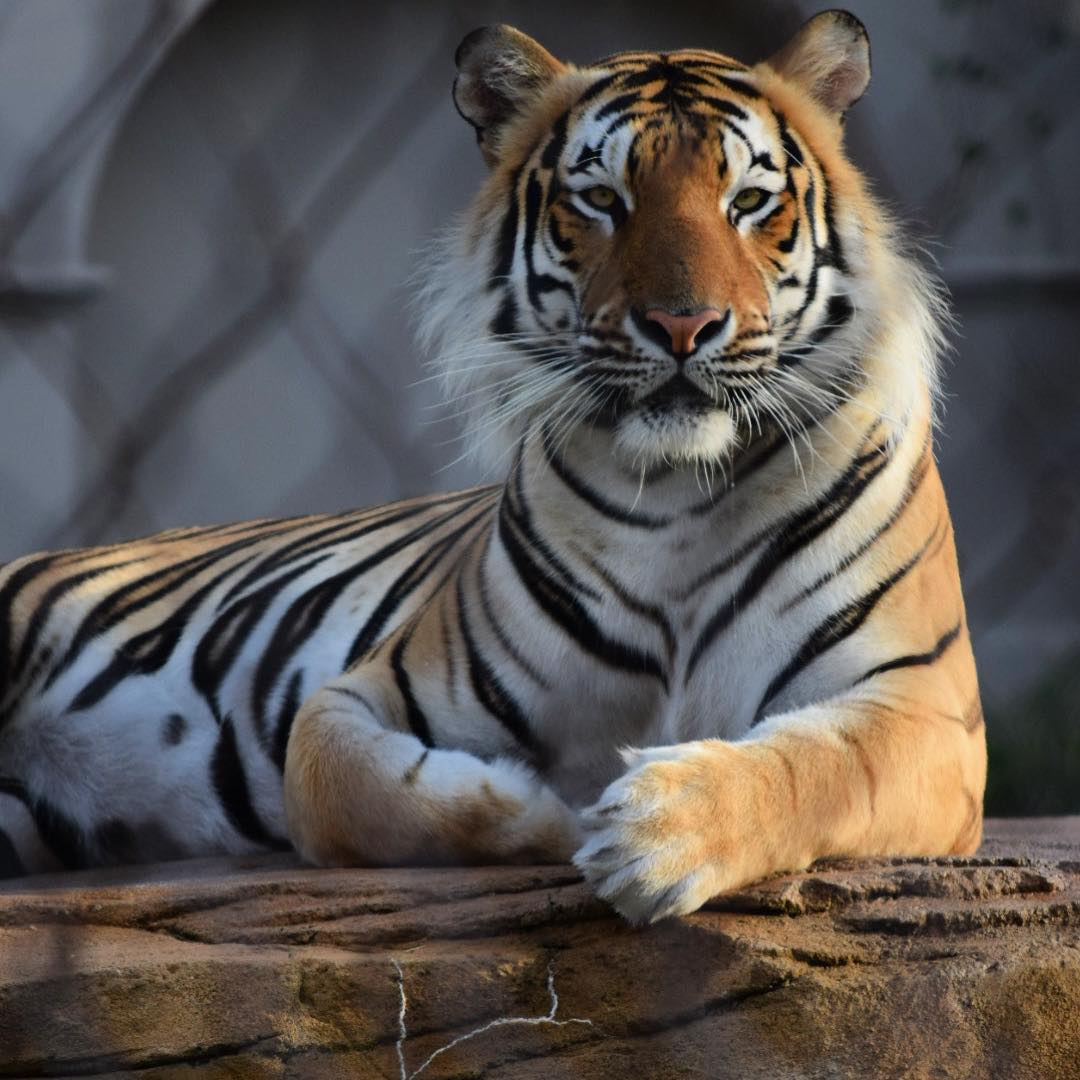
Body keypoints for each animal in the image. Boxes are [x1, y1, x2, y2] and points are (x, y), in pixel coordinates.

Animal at [0, 11, 984, 923]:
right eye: (602, 199)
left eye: (746, 200)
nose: (682, 325)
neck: (677, 495)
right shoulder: (366, 692)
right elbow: (338, 780)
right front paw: (548, 810)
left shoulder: (925, 708)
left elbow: (819, 770)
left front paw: (657, 830)